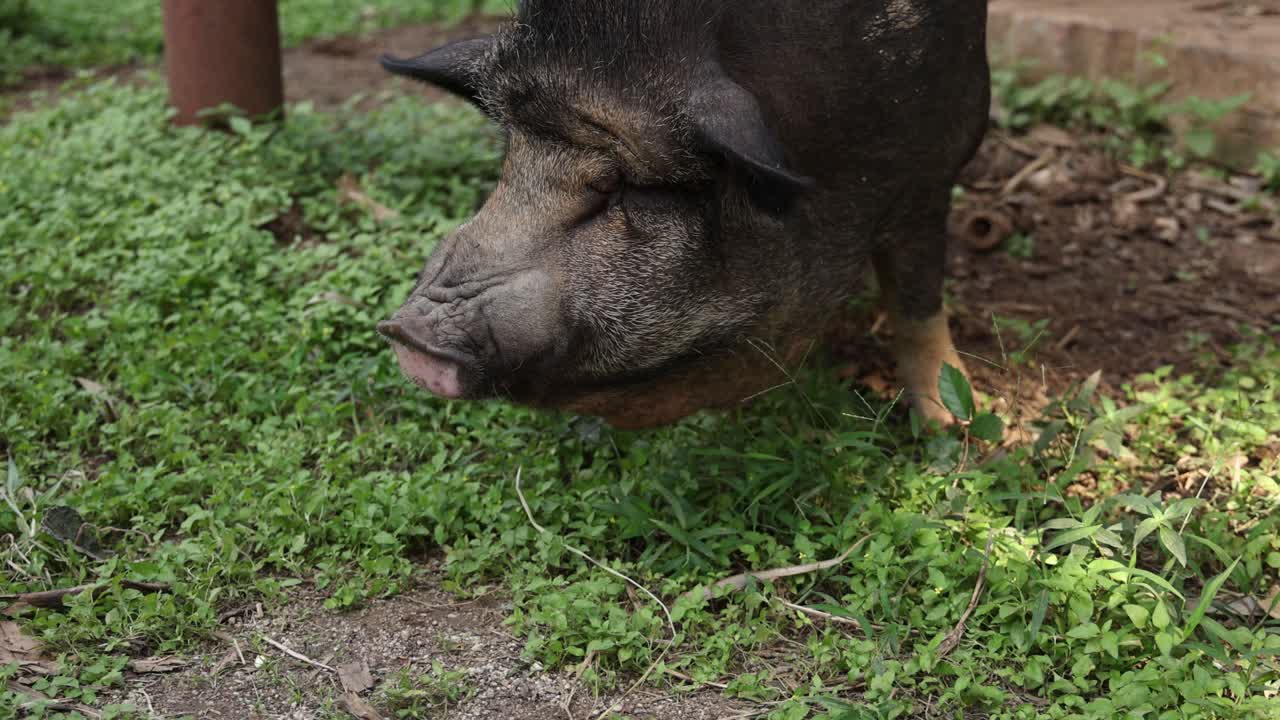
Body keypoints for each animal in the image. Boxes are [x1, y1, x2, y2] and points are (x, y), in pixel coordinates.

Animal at [375, 0, 991, 430]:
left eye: (620, 187)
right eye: (510, 160)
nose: (407, 331)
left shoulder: (934, 164)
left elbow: (917, 301)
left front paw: (952, 423)